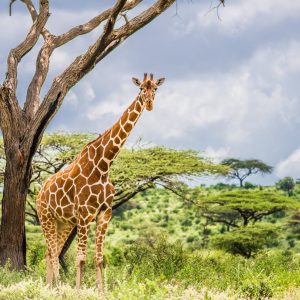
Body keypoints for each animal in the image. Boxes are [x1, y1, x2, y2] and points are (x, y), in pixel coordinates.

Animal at [37, 72, 166, 290]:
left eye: (155, 88)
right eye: (141, 89)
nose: (149, 103)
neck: (104, 165)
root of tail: (40, 191)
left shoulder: (105, 213)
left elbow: (99, 258)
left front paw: (101, 292)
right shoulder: (85, 214)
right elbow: (80, 258)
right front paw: (78, 291)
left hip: (63, 223)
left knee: (49, 252)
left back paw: (50, 288)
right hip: (46, 217)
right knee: (53, 253)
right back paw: (58, 288)